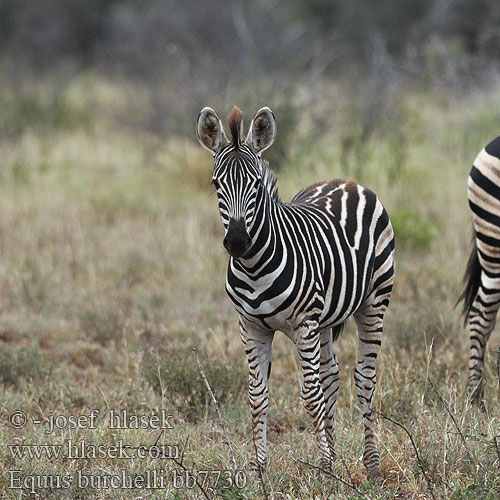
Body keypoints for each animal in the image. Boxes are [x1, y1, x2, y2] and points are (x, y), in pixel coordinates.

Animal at [195, 103, 394, 478]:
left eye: (256, 184)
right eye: (216, 184)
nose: (237, 242)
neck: (254, 268)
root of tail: (345, 181)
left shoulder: (304, 324)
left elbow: (311, 395)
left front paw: (324, 469)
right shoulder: (251, 326)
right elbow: (257, 395)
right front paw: (258, 469)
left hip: (373, 302)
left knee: (364, 379)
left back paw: (371, 465)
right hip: (327, 318)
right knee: (332, 374)